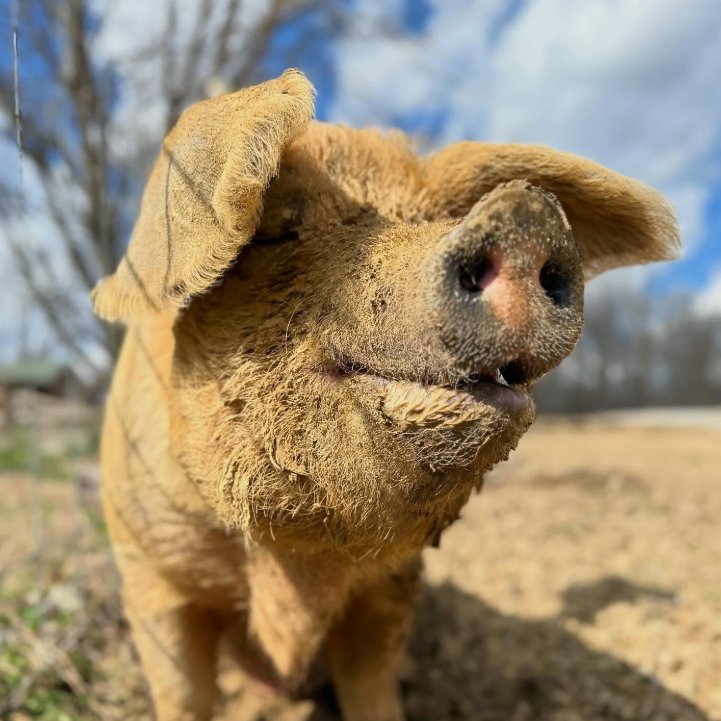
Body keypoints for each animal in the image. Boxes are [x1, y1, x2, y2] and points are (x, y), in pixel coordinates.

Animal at [92, 69, 679, 721]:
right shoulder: (149, 567)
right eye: (274, 231)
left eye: (429, 218)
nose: (527, 216)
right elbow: (181, 691)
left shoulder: (392, 585)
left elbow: (372, 684)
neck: (297, 562)